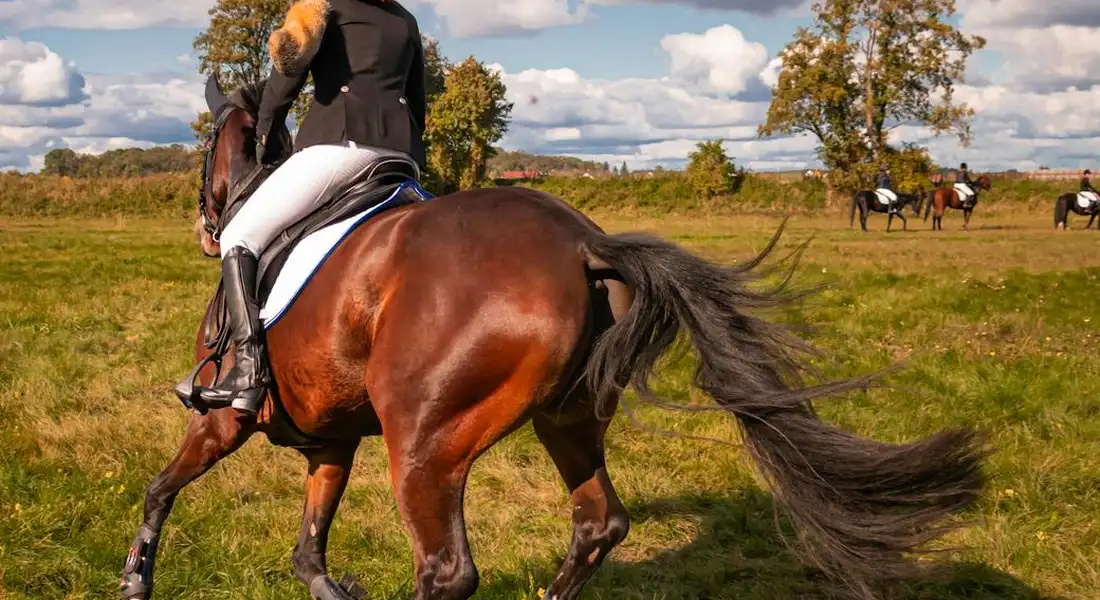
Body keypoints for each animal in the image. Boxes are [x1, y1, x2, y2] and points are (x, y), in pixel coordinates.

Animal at [119, 75, 988, 600]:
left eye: (203, 146)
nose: (205, 225)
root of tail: (583, 244)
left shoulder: (224, 419)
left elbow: (161, 487)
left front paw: (136, 577)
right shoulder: (329, 439)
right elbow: (311, 545)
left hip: (425, 445)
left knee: (446, 569)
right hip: (567, 418)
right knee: (599, 523)